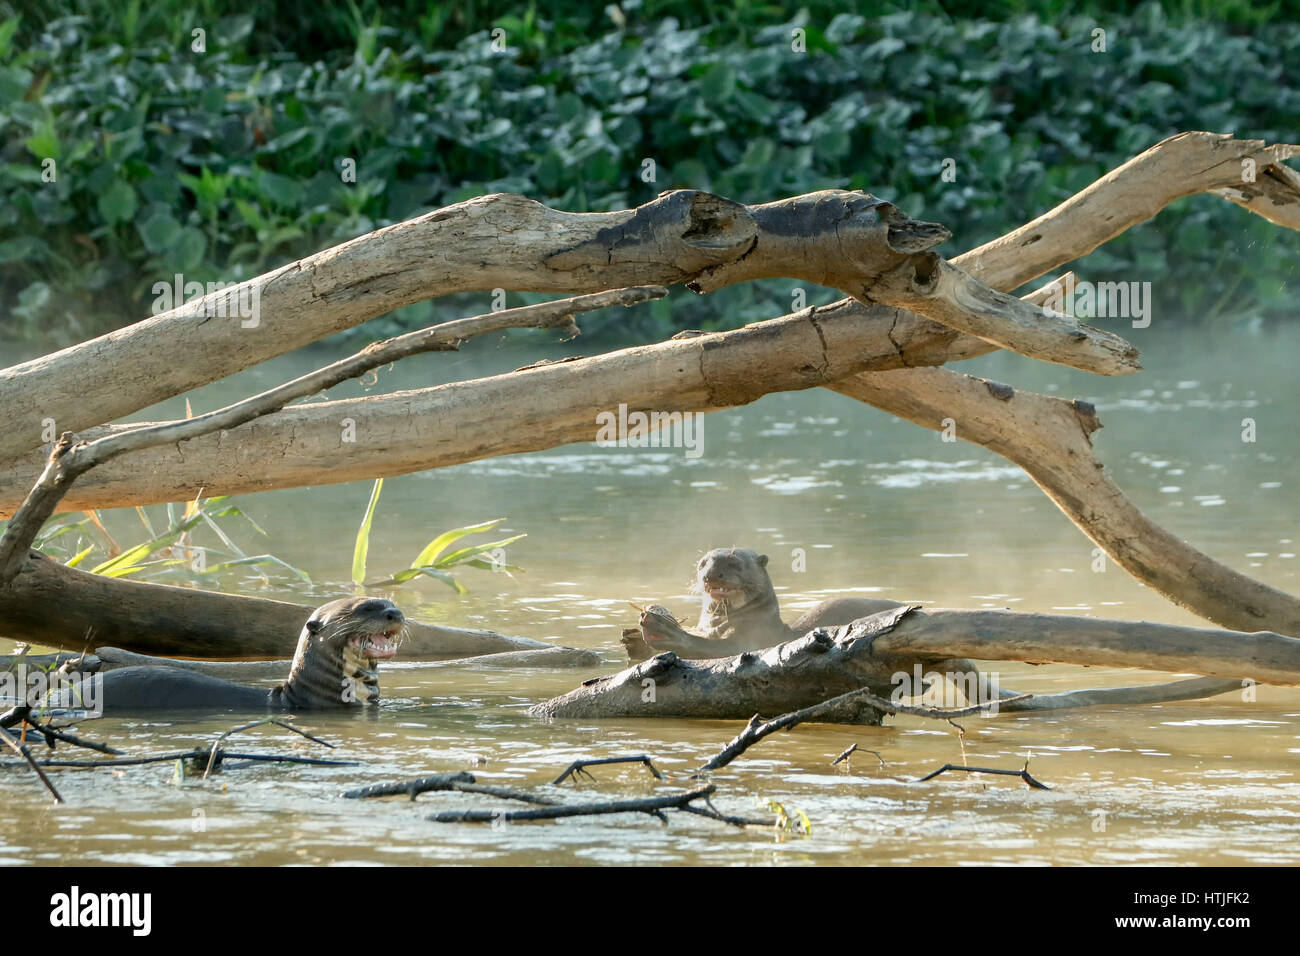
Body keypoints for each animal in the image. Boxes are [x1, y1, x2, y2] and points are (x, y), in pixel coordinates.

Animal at [623, 547, 906, 659]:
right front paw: (634, 639)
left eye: (734, 563)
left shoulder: (752, 640)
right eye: (703, 563)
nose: (712, 574)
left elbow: (713, 648)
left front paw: (666, 631)